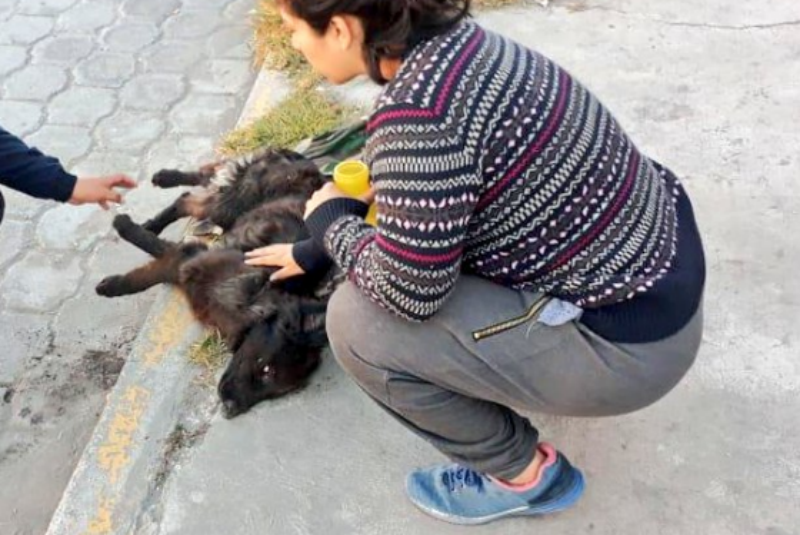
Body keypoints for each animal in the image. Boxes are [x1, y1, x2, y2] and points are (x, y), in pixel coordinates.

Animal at [96, 149, 334, 420]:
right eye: (266, 369)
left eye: (277, 391)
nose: (230, 410)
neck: (255, 303)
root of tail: (297, 157)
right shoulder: (188, 261)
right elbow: (145, 272)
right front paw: (111, 282)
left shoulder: (186, 266)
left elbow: (151, 266)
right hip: (232, 203)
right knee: (192, 195)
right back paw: (149, 206)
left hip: (228, 202)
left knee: (197, 189)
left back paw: (163, 185)